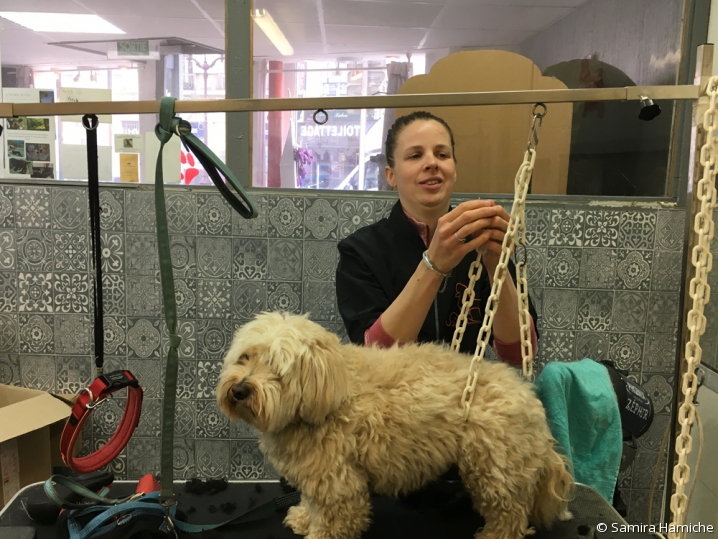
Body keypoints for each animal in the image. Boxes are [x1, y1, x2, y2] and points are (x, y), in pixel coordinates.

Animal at [215, 312, 572, 539]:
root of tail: (527, 393)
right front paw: (303, 518)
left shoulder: (337, 481)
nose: (240, 390)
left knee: (510, 513)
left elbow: (333, 517)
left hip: (495, 467)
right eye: (245, 358)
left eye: (277, 368)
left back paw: (495, 535)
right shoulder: (317, 472)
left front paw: (318, 534)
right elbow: (312, 503)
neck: (332, 391)